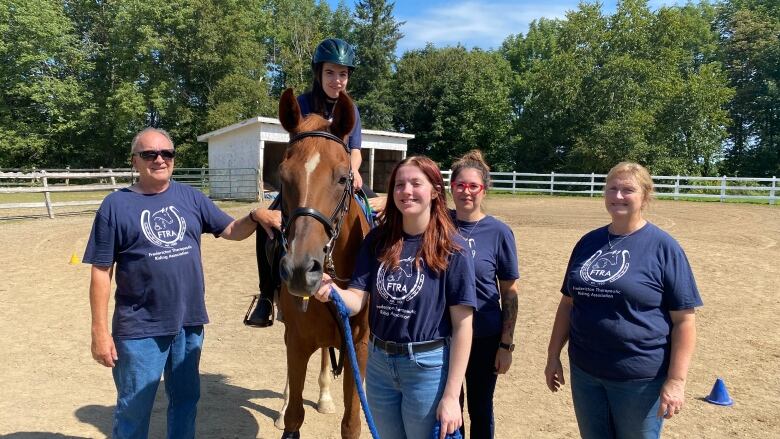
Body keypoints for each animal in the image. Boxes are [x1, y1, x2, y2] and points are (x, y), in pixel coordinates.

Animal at [276, 87, 370, 439]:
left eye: (343, 178)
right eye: (282, 175)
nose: (300, 270)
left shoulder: (358, 346)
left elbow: (352, 422)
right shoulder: (297, 341)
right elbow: (294, 417)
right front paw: (286, 411)